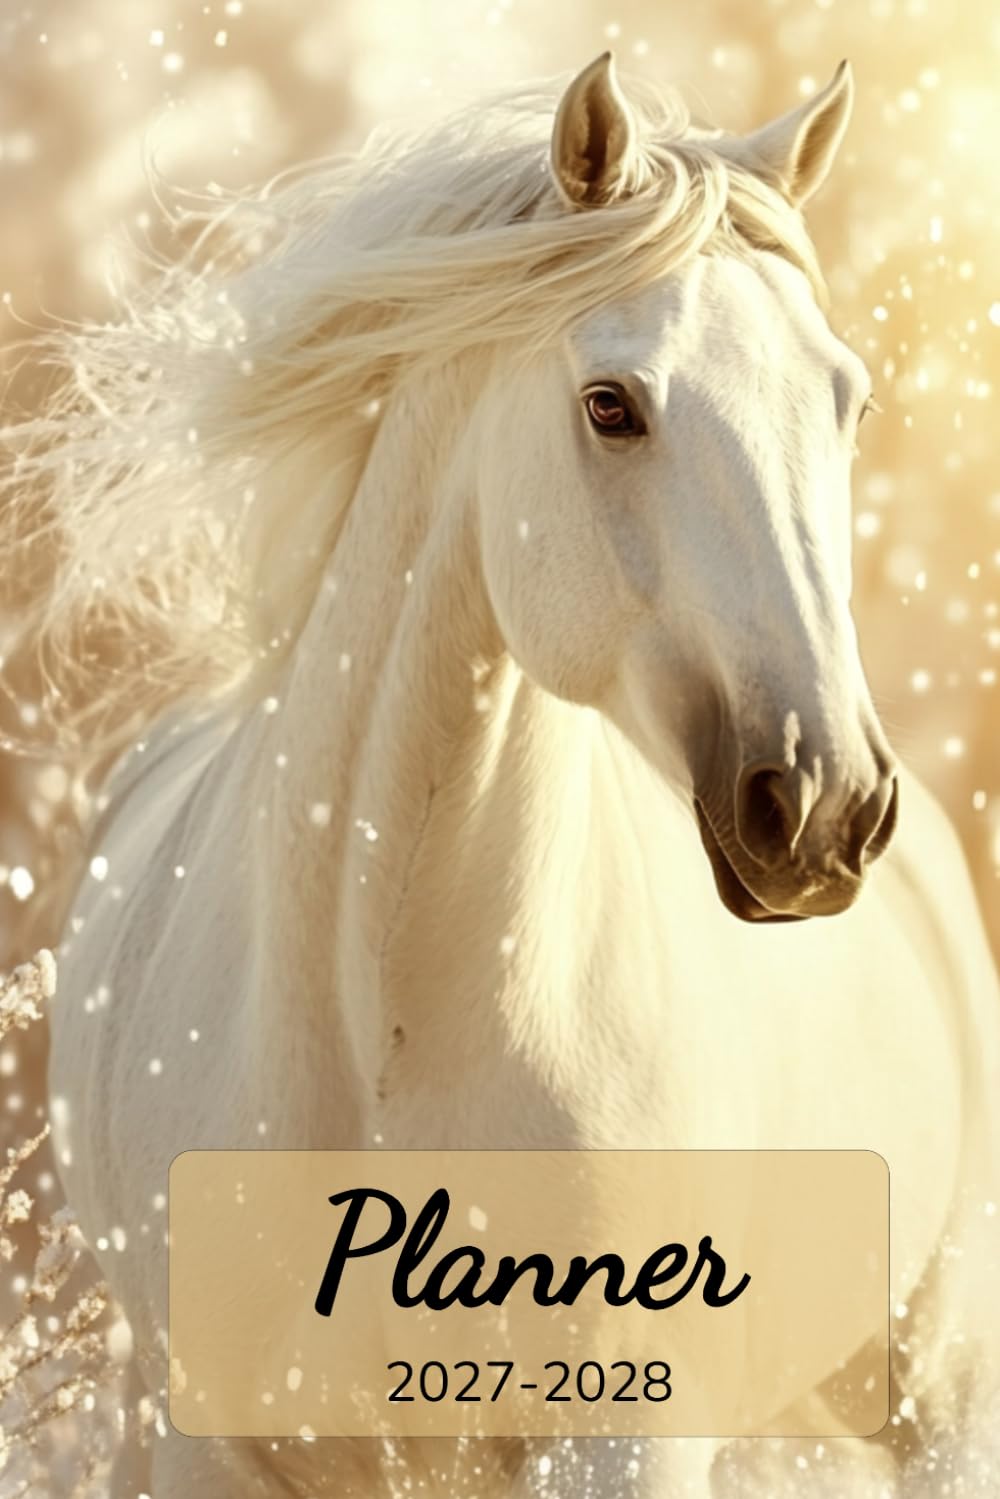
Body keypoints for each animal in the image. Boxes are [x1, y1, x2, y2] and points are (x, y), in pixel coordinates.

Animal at [7, 50, 999, 1497]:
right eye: (610, 404)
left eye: (847, 400)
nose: (824, 808)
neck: (374, 1033)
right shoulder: (212, 1446)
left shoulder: (623, 1433)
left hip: (940, 1392)